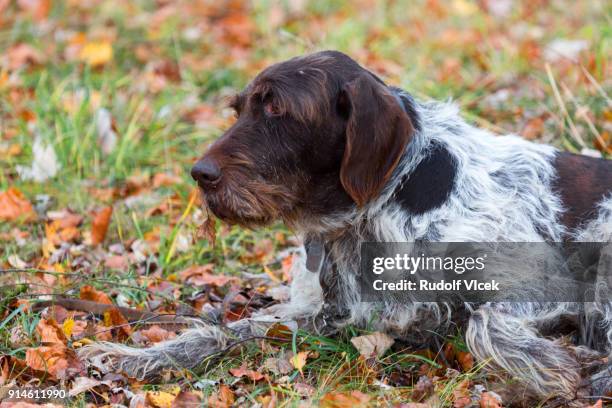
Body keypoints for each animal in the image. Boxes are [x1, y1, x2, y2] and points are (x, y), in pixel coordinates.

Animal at [81, 52, 612, 406]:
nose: (200, 174)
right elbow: (230, 328)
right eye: (240, 109)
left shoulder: (544, 287)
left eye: (277, 110)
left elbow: (484, 322)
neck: (368, 214)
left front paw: (550, 368)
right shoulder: (333, 313)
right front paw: (147, 355)